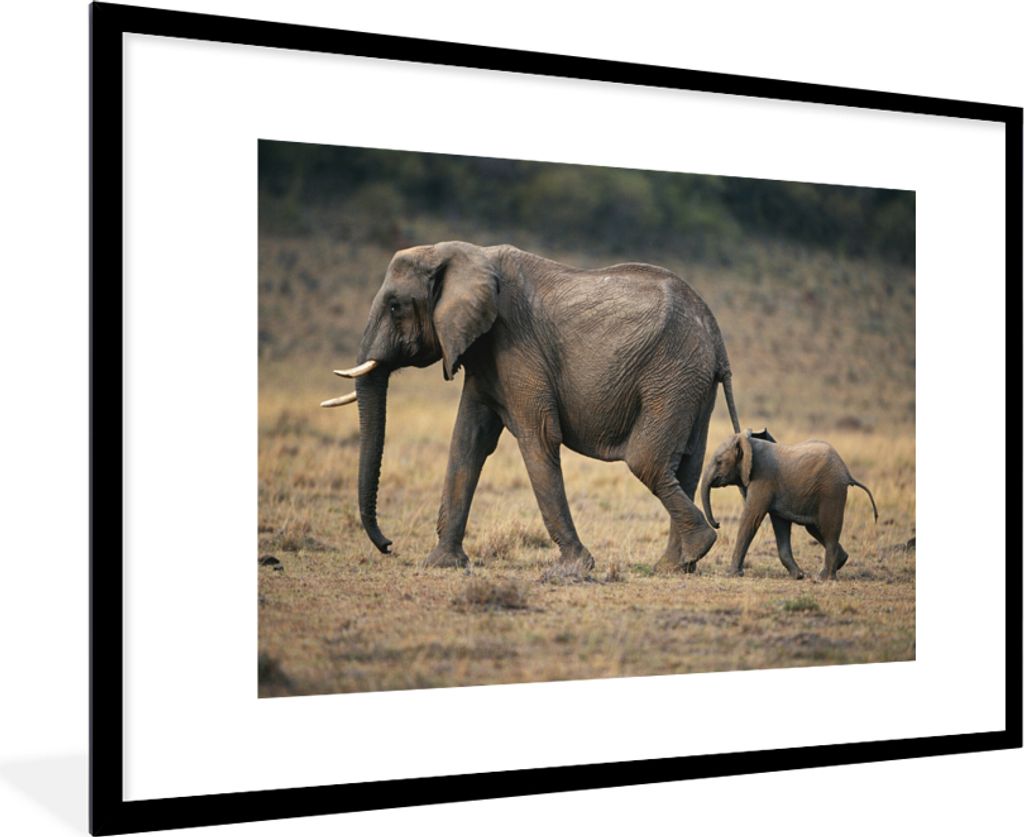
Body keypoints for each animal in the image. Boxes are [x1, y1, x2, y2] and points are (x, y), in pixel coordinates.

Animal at [322, 241, 741, 573]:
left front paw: (575, 567)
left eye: (395, 306)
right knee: (685, 465)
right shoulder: (484, 353)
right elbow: (468, 442)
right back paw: (675, 565)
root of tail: (717, 335)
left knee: (647, 461)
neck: (464, 254)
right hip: (691, 382)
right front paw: (441, 563)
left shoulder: (515, 344)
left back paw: (696, 548)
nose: (388, 545)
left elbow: (538, 436)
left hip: (671, 372)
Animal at [700, 428, 879, 579]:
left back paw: (823, 578)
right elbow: (780, 524)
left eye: (719, 461)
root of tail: (847, 472)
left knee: (829, 528)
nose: (718, 524)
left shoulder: (763, 479)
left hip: (831, 490)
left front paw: (731, 574)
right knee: (816, 528)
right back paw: (840, 561)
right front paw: (798, 575)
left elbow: (751, 519)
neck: (748, 443)